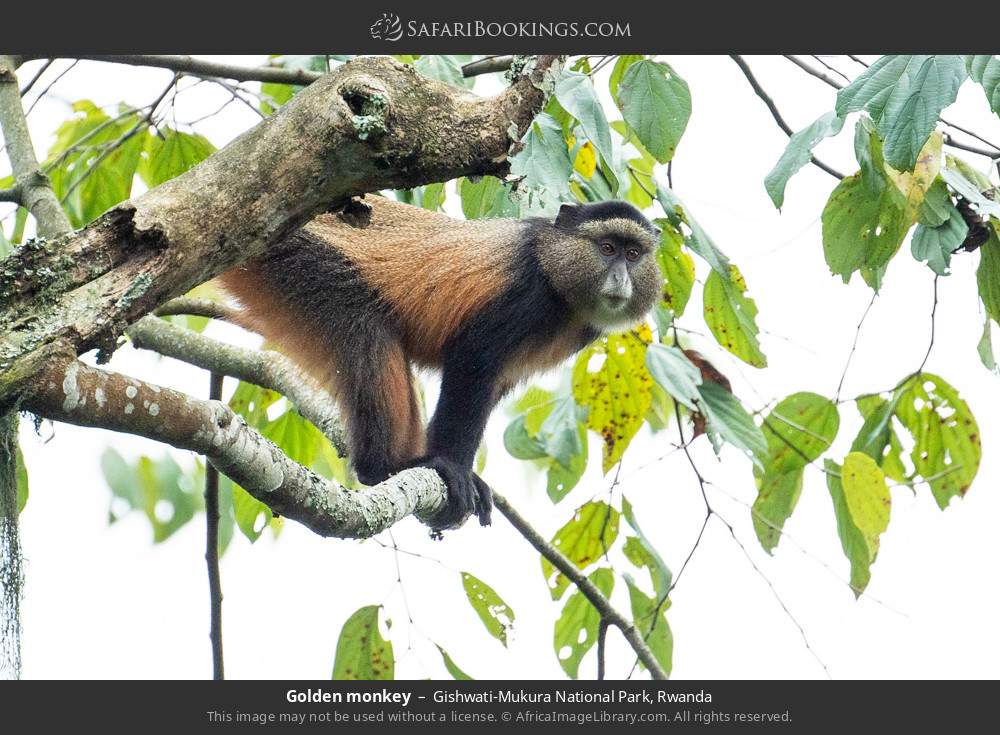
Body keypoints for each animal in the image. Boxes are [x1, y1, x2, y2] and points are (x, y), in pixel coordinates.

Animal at [217, 196, 661, 530]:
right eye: (607, 248)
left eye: (633, 253)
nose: (620, 279)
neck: (555, 271)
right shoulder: (525, 297)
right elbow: (472, 363)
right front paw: (452, 468)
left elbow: (492, 387)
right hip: (294, 258)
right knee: (362, 323)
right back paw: (385, 467)